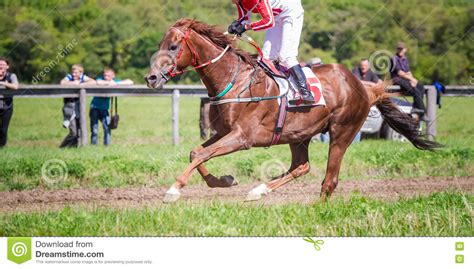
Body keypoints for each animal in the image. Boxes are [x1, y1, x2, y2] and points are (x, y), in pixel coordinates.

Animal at [145, 18, 440, 202]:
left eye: (173, 46)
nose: (151, 78)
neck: (234, 79)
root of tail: (363, 87)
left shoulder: (242, 137)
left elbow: (202, 154)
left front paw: (173, 190)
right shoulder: (224, 132)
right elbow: (197, 152)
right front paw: (225, 181)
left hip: (342, 132)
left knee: (329, 179)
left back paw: (316, 209)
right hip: (299, 135)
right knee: (301, 166)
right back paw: (259, 190)